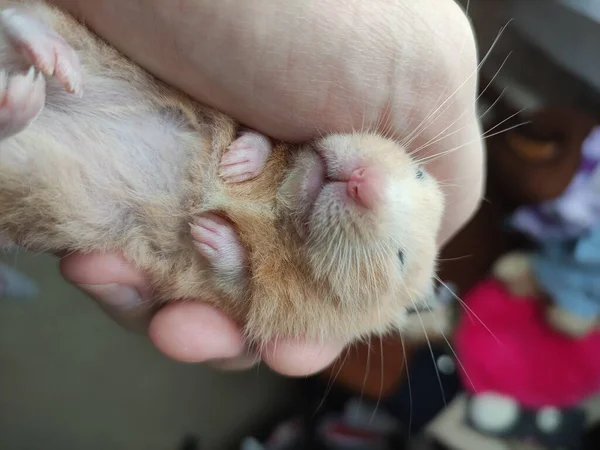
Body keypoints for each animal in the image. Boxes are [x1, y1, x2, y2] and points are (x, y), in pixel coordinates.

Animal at [0, 0, 446, 346]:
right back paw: (51, 61)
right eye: (419, 173)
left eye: (399, 259)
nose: (362, 181)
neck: (277, 206)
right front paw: (236, 164)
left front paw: (208, 231)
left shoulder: (240, 302)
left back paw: (24, 95)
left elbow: (234, 275)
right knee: (20, 20)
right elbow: (261, 136)